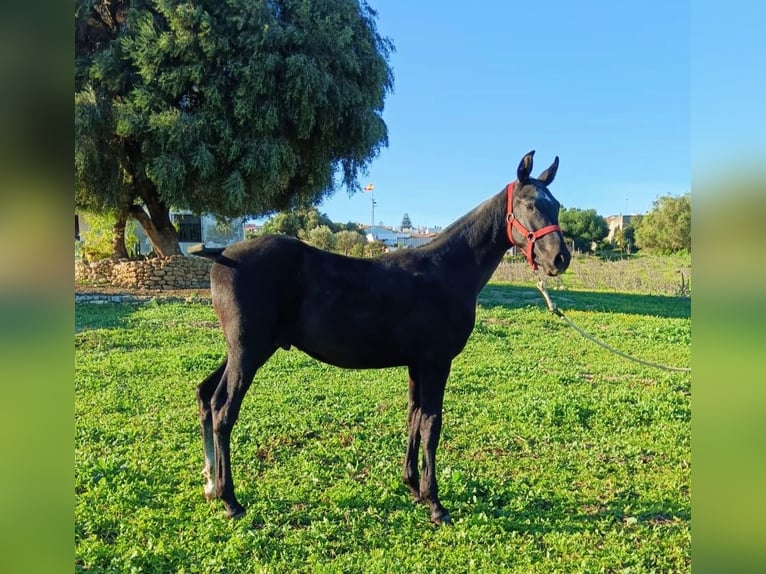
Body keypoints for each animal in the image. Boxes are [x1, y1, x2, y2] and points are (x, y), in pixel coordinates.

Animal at [195, 150, 572, 528]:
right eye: (529, 204)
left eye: (555, 205)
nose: (560, 258)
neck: (445, 270)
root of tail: (222, 254)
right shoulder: (436, 363)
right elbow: (431, 424)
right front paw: (435, 503)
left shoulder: (417, 365)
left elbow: (414, 417)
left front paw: (413, 487)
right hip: (249, 351)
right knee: (224, 410)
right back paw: (230, 499)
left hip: (242, 349)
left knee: (206, 395)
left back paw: (211, 484)